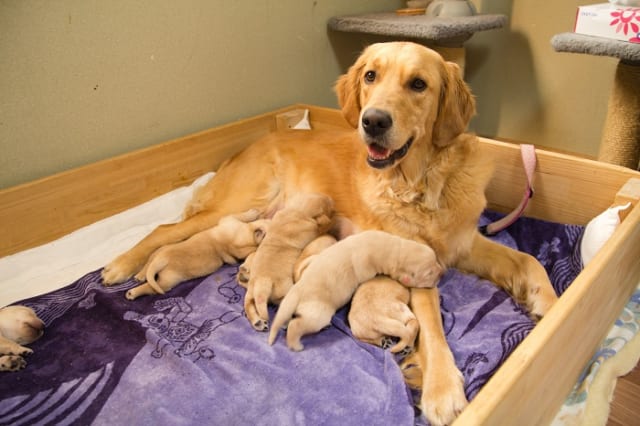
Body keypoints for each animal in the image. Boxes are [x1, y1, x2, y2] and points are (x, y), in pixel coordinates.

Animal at [126, 210, 268, 300]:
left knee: (149, 263)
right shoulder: (229, 221)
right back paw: (133, 292)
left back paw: (139, 276)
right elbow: (240, 216)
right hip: (167, 281)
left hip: (160, 251)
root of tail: (163, 259)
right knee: (152, 286)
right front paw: (253, 213)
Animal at [244, 191, 336, 332]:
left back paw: (257, 322)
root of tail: (261, 285)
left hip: (250, 294)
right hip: (287, 290)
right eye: (330, 208)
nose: (333, 201)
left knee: (248, 306)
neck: (297, 211)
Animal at [268, 231, 442, 352]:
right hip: (317, 314)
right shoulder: (367, 266)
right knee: (296, 325)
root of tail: (297, 291)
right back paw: (295, 344)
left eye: (435, 259)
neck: (394, 248)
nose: (441, 273)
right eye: (429, 274)